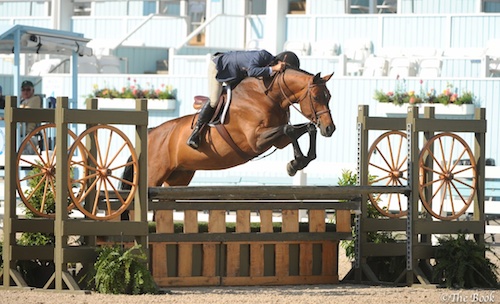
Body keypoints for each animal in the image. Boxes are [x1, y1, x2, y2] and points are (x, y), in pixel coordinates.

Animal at [121, 67, 334, 188]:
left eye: (329, 96)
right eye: (316, 97)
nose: (330, 129)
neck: (269, 96)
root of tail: (151, 133)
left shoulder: (277, 140)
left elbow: (305, 130)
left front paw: (300, 161)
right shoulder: (256, 140)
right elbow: (290, 130)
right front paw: (295, 163)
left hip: (178, 178)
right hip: (153, 176)